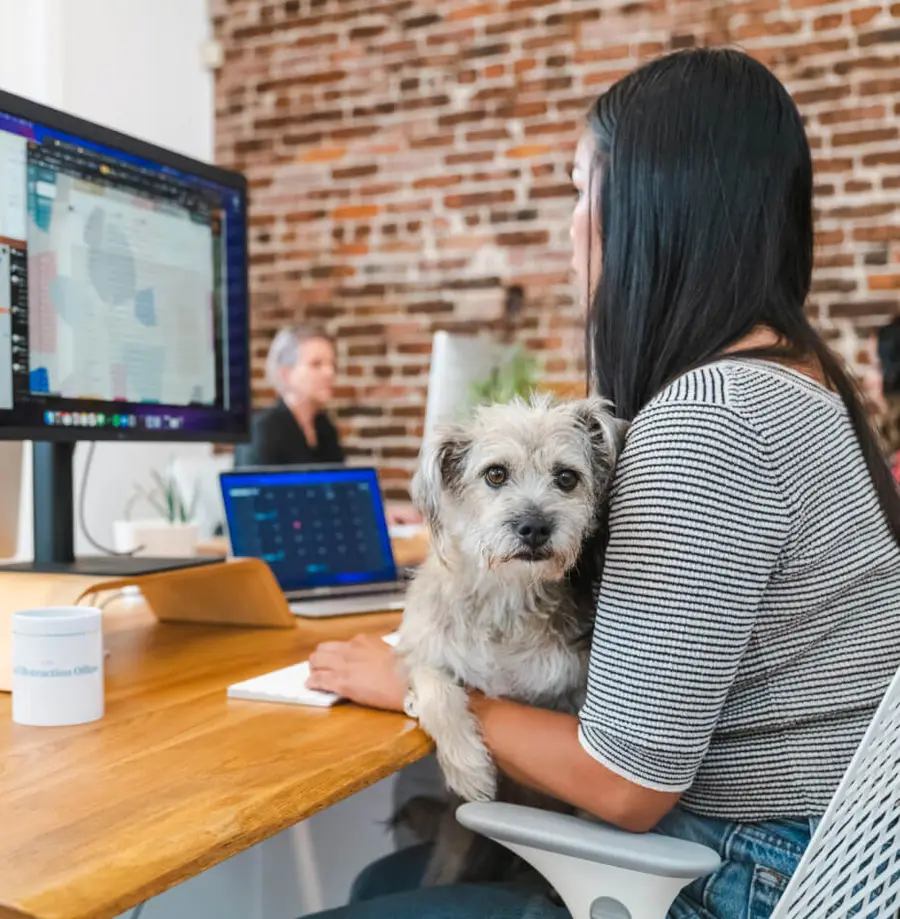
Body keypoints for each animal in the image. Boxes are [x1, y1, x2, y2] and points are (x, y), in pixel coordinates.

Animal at [396, 392, 624, 888]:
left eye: (566, 477)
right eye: (495, 474)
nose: (535, 527)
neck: (507, 599)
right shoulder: (424, 648)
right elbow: (436, 688)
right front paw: (468, 767)